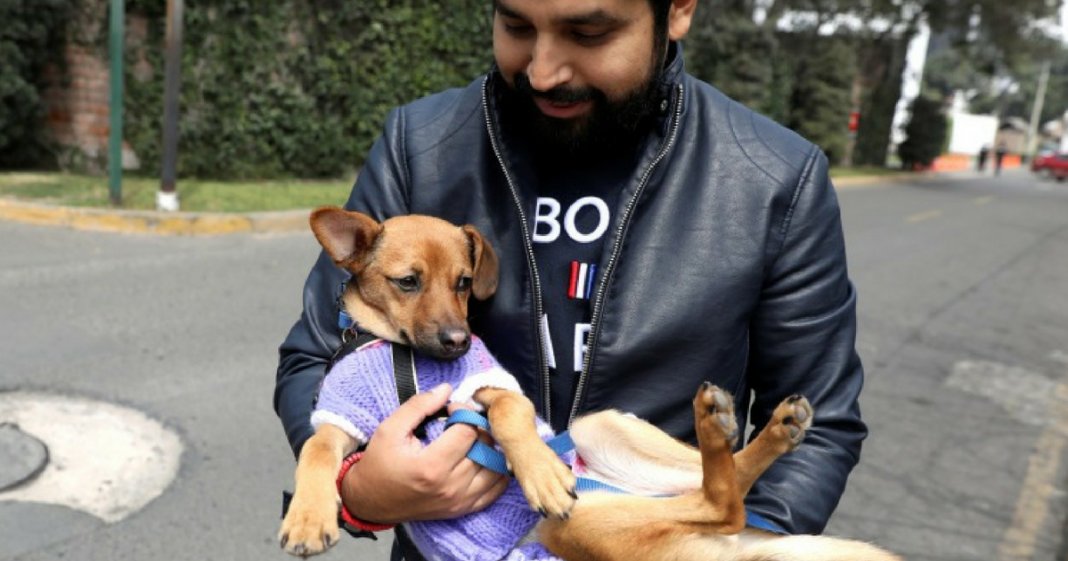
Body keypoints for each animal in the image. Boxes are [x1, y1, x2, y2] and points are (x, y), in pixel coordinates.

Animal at [279, 207, 897, 555]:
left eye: (462, 282)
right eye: (407, 282)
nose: (457, 343)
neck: (403, 354)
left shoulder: (490, 385)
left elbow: (509, 413)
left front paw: (540, 474)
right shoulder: (342, 418)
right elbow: (315, 450)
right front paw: (308, 517)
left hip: (589, 476)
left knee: (724, 500)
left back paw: (722, 426)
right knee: (723, 494)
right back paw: (755, 427)